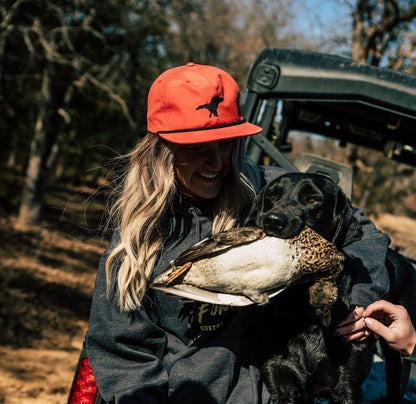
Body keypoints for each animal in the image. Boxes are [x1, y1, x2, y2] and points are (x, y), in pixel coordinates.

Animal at [245, 173, 414, 404]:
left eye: (313, 199)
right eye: (272, 195)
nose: (273, 220)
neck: (300, 309)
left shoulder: (347, 387)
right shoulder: (279, 379)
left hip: (399, 352)